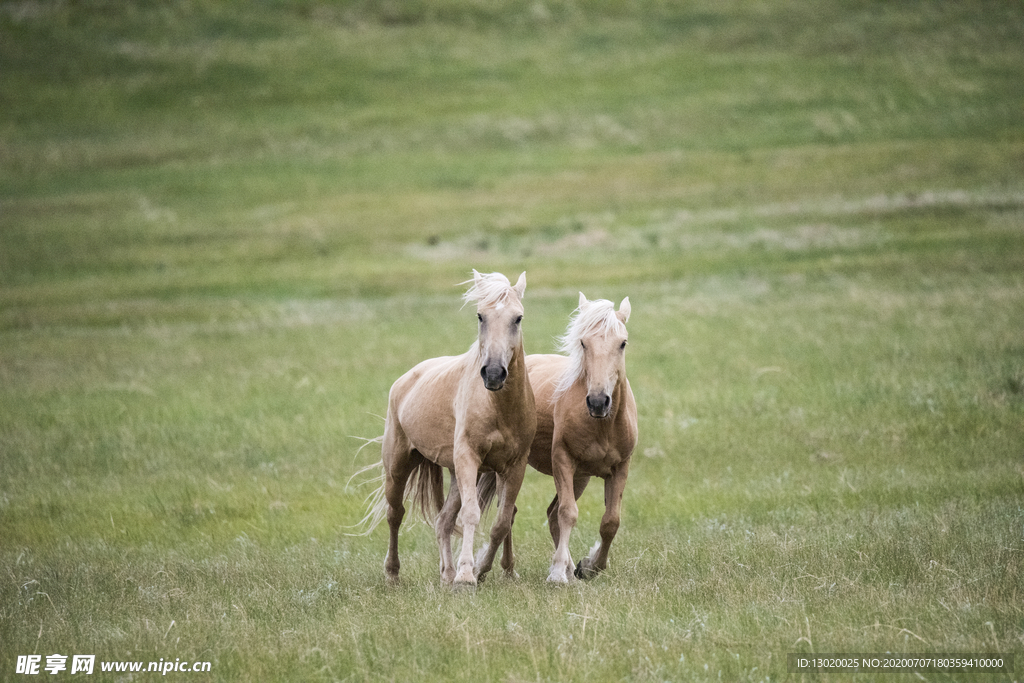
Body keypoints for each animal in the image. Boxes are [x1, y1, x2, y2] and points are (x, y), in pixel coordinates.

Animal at [358, 272, 536, 589]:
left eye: (518, 318)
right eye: (480, 316)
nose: (493, 373)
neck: (498, 407)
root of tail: (405, 380)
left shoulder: (514, 467)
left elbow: (501, 522)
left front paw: (480, 570)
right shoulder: (468, 458)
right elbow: (471, 514)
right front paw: (467, 576)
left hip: (454, 474)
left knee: (442, 521)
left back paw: (447, 574)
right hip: (398, 466)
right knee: (395, 514)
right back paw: (393, 573)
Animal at [485, 292, 634, 581]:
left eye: (622, 343)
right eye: (583, 343)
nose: (598, 401)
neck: (603, 426)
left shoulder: (620, 468)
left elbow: (610, 521)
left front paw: (589, 566)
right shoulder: (563, 461)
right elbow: (568, 513)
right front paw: (557, 574)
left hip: (581, 477)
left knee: (550, 514)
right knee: (509, 513)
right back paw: (506, 569)